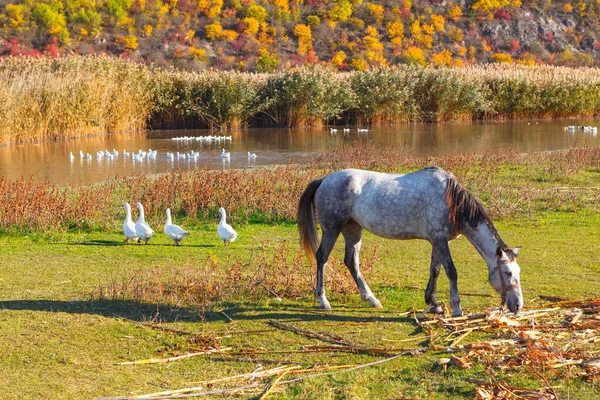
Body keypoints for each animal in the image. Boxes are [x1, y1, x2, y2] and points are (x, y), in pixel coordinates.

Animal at [298, 167, 524, 318]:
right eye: (507, 273)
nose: (518, 305)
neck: (451, 201)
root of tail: (325, 179)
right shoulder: (440, 239)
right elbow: (451, 271)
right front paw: (456, 308)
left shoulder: (438, 241)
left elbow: (435, 270)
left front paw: (433, 303)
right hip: (332, 228)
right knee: (322, 257)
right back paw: (323, 300)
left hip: (352, 229)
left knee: (351, 262)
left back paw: (371, 299)